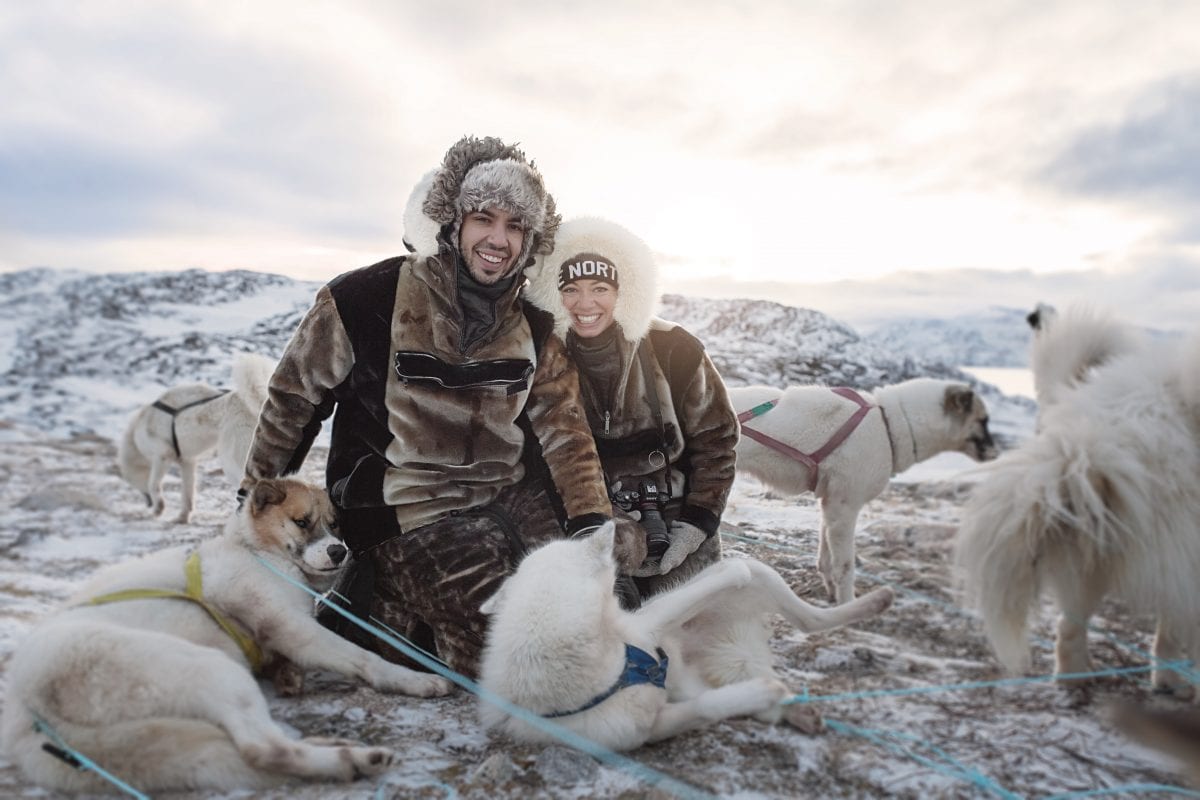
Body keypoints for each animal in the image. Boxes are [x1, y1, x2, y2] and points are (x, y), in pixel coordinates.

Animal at [2, 474, 451, 796]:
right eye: (302, 522)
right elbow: (366, 658)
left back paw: (348, 754)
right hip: (212, 669)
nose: (339, 552)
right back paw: (345, 760)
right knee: (263, 749)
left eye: (336, 524)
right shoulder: (294, 629)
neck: (256, 552)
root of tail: (26, 702)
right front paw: (415, 679)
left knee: (249, 748)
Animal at [116, 352, 274, 522]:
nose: (147, 504)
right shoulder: (187, 462)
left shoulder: (162, 456)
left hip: (232, 461)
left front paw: (158, 509)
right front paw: (183, 517)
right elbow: (187, 493)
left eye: (132, 483)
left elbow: (154, 484)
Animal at [475, 525, 892, 753]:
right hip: (699, 679)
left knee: (811, 619)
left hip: (767, 577)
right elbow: (707, 707)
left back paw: (872, 602)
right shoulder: (650, 727)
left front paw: (728, 572)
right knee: (798, 640)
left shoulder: (648, 621)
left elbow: (697, 591)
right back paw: (791, 707)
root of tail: (736, 650)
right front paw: (762, 694)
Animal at [724, 379, 998, 604]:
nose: (998, 453)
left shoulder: (830, 507)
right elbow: (845, 567)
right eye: (983, 421)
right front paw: (847, 604)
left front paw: (832, 593)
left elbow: (826, 560)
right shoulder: (844, 511)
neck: (888, 425)